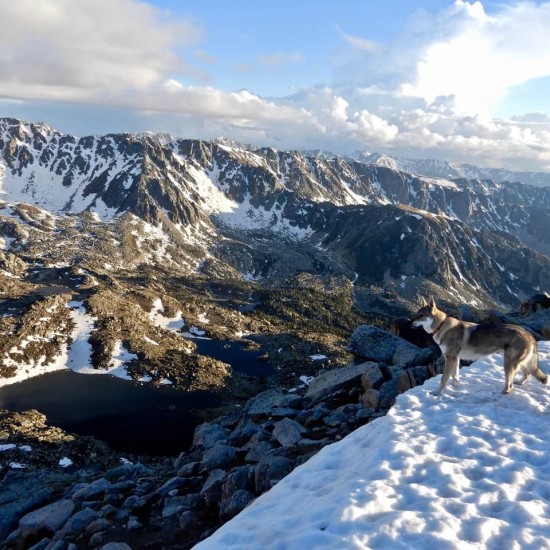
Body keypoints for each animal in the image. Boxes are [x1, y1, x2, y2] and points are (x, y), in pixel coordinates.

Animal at [412, 298, 548, 396]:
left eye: (421, 315)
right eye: (416, 314)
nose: (410, 323)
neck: (441, 326)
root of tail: (528, 334)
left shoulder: (450, 358)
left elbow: (443, 378)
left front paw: (437, 393)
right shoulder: (455, 359)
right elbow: (454, 376)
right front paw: (455, 387)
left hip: (508, 364)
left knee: (510, 386)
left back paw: (500, 394)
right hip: (520, 363)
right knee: (527, 374)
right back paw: (519, 382)